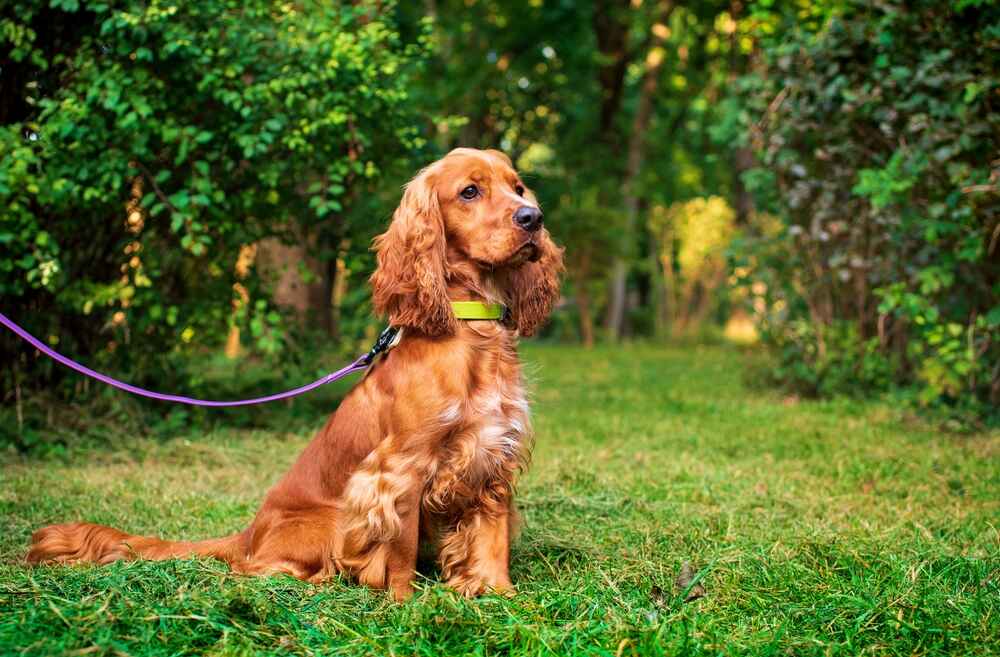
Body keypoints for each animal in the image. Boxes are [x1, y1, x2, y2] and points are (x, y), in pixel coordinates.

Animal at [25, 149, 564, 600]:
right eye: (469, 191)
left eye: (518, 187)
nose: (532, 219)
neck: (473, 329)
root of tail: (249, 531)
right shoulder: (400, 468)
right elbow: (401, 550)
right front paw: (404, 604)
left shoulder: (493, 455)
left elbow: (492, 538)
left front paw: (501, 595)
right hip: (331, 521)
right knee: (251, 568)